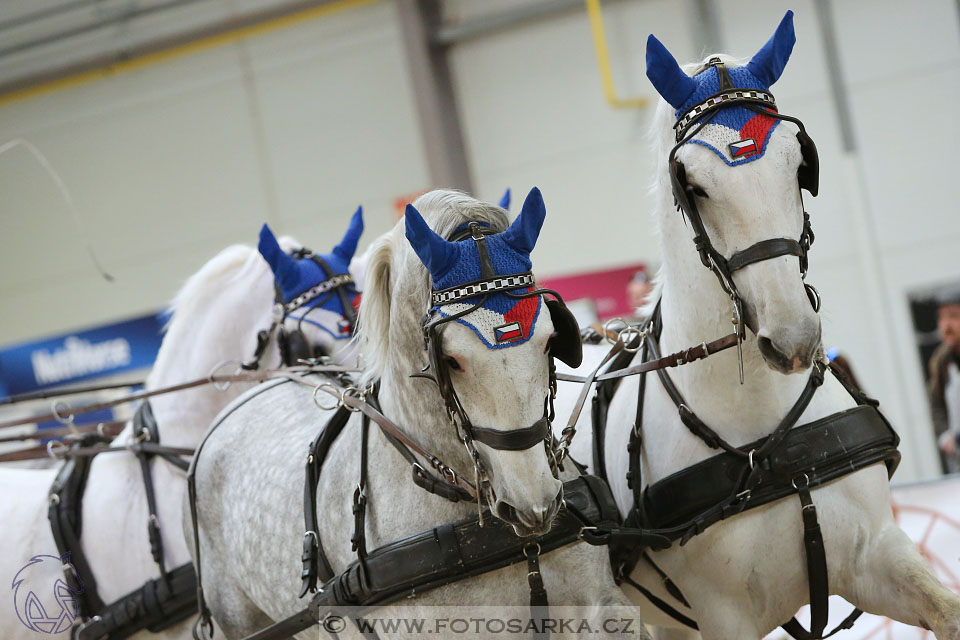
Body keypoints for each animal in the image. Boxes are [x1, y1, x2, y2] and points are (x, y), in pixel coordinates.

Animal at [560, 13, 960, 640]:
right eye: (694, 184)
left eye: (799, 165)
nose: (793, 338)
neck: (765, 443)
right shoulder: (723, 615)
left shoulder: (875, 554)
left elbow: (945, 608)